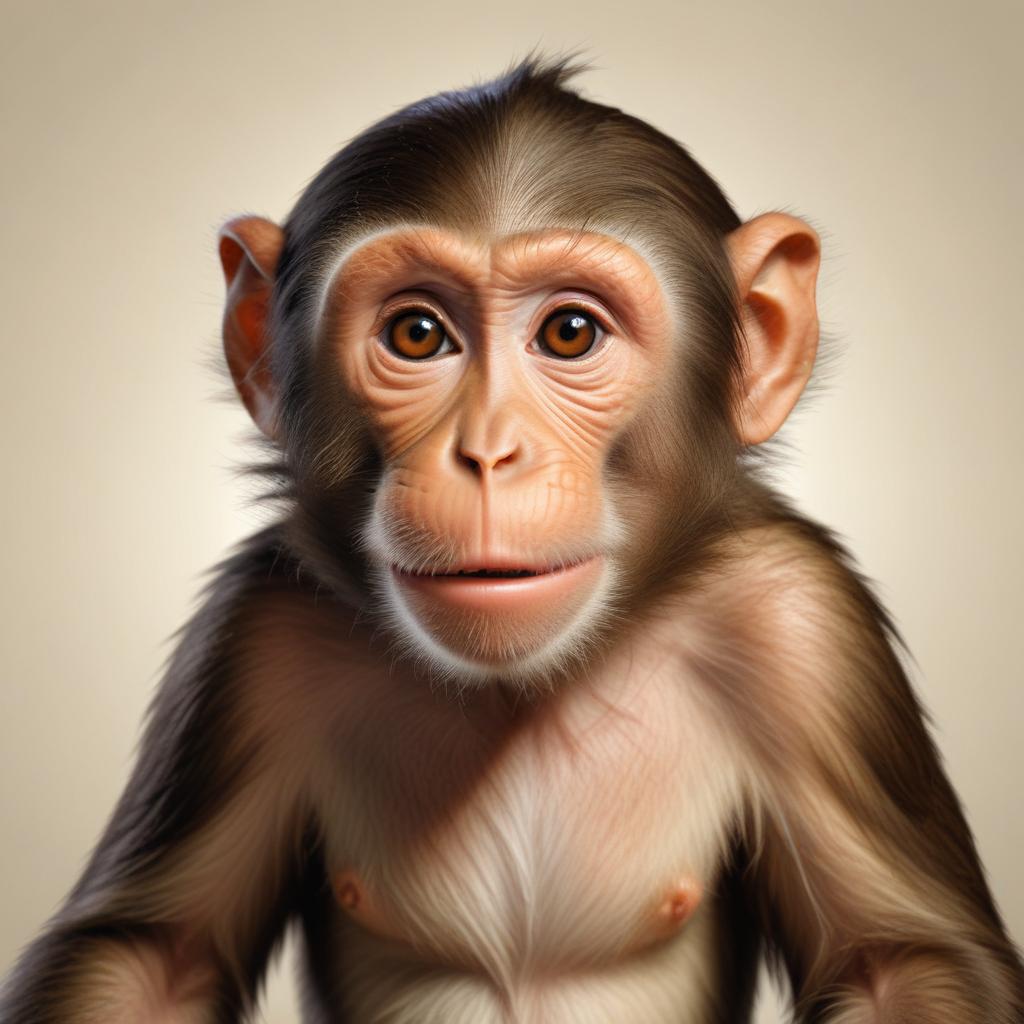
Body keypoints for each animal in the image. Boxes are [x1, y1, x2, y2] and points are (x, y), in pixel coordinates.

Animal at [2, 54, 1022, 1024]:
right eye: (417, 334)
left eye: (569, 333)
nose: (488, 451)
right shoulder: (254, 638)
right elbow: (155, 958)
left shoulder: (803, 630)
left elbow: (896, 962)